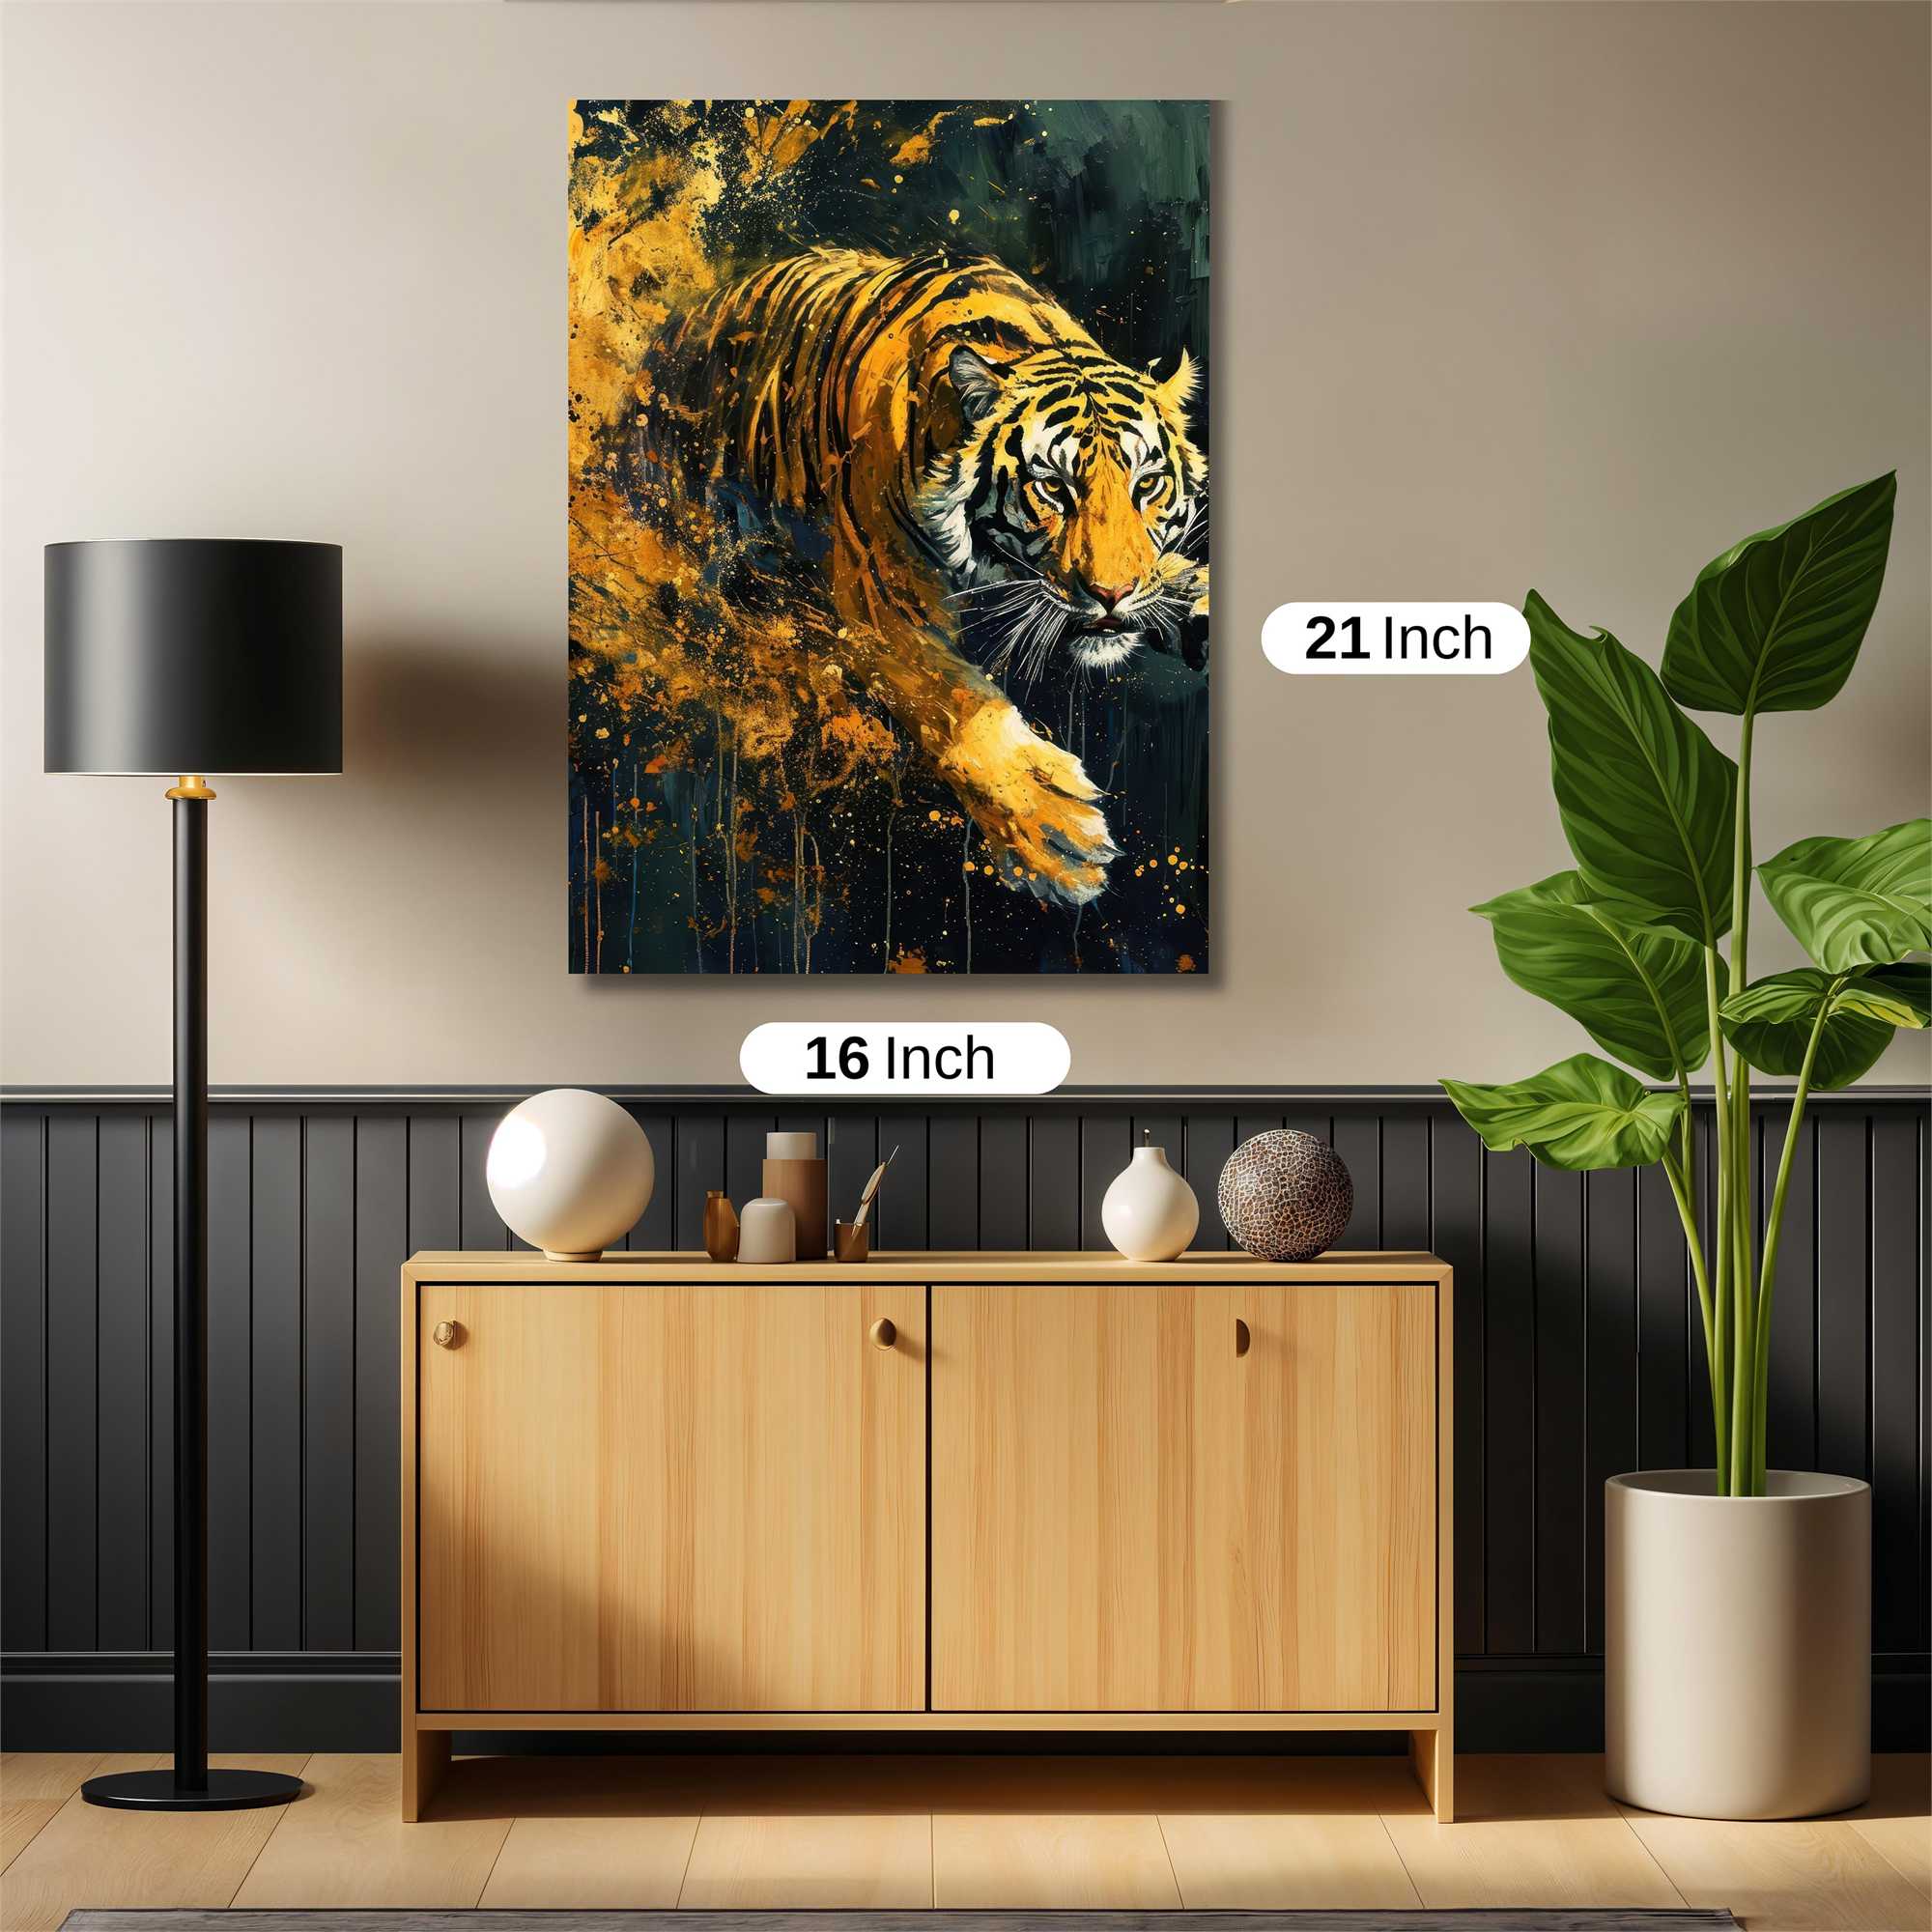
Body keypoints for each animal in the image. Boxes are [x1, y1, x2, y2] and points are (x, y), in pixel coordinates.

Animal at [633, 247, 1208, 907]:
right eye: (1053, 488)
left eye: (1148, 484)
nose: (1112, 593)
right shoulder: (881, 597)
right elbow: (957, 700)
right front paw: (1053, 831)